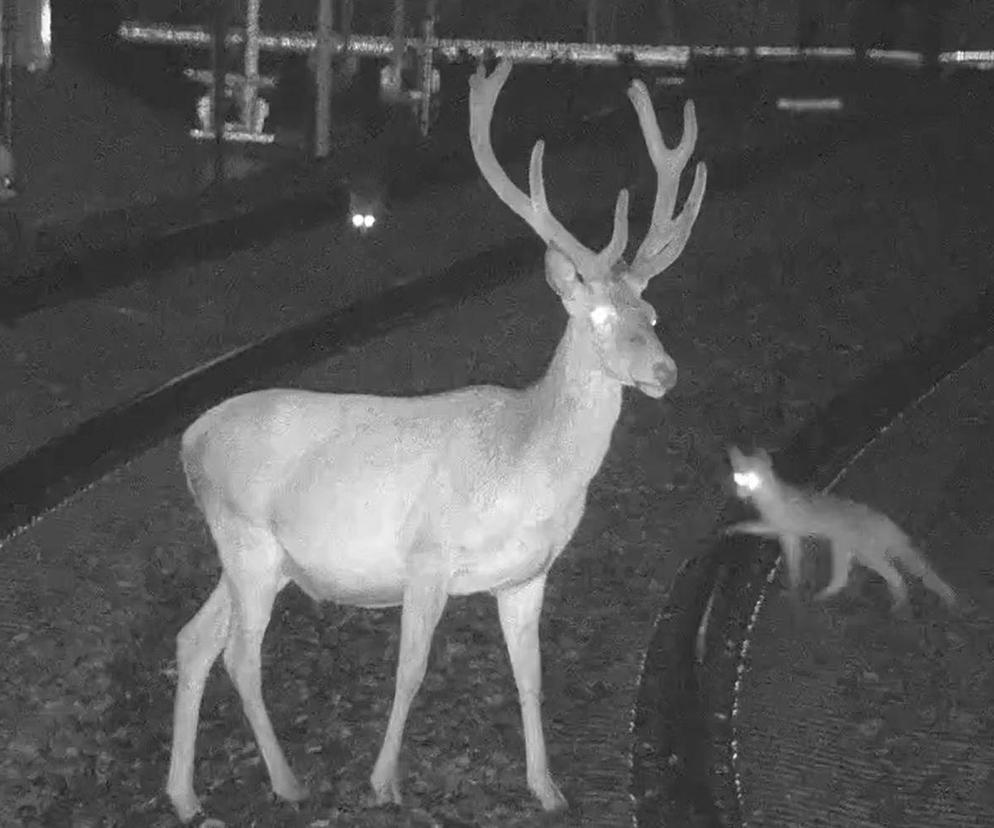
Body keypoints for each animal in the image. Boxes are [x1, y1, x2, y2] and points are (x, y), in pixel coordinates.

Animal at [165, 58, 704, 820]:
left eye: (651, 314)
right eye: (599, 315)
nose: (664, 371)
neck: (525, 464)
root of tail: (188, 440)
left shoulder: (529, 575)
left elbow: (532, 677)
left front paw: (548, 789)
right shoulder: (427, 554)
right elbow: (411, 672)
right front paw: (383, 782)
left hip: (258, 558)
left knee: (195, 640)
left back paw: (185, 797)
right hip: (246, 539)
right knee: (239, 655)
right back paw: (288, 782)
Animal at [720, 446, 952, 616]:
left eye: (753, 479)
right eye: (739, 478)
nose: (741, 493)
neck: (769, 500)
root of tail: (886, 523)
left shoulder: (782, 525)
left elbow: (751, 526)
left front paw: (731, 529)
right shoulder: (789, 536)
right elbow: (794, 565)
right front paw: (794, 588)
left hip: (863, 553)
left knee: (896, 578)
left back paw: (898, 606)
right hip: (848, 550)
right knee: (845, 580)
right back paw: (824, 597)